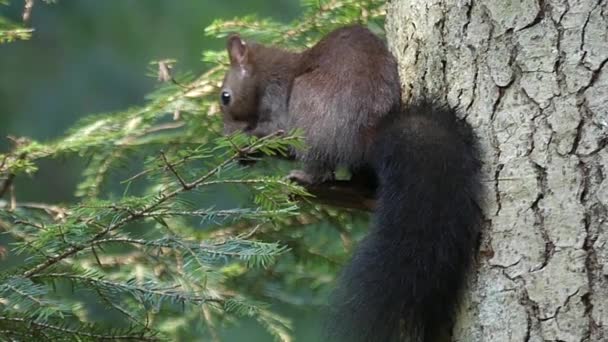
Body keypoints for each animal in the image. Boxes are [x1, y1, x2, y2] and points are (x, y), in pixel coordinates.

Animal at [218, 24, 480, 342]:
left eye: (225, 97)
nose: (225, 137)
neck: (267, 73)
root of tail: (368, 136)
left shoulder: (277, 102)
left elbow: (276, 135)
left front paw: (247, 146)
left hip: (307, 105)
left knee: (317, 163)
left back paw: (304, 177)